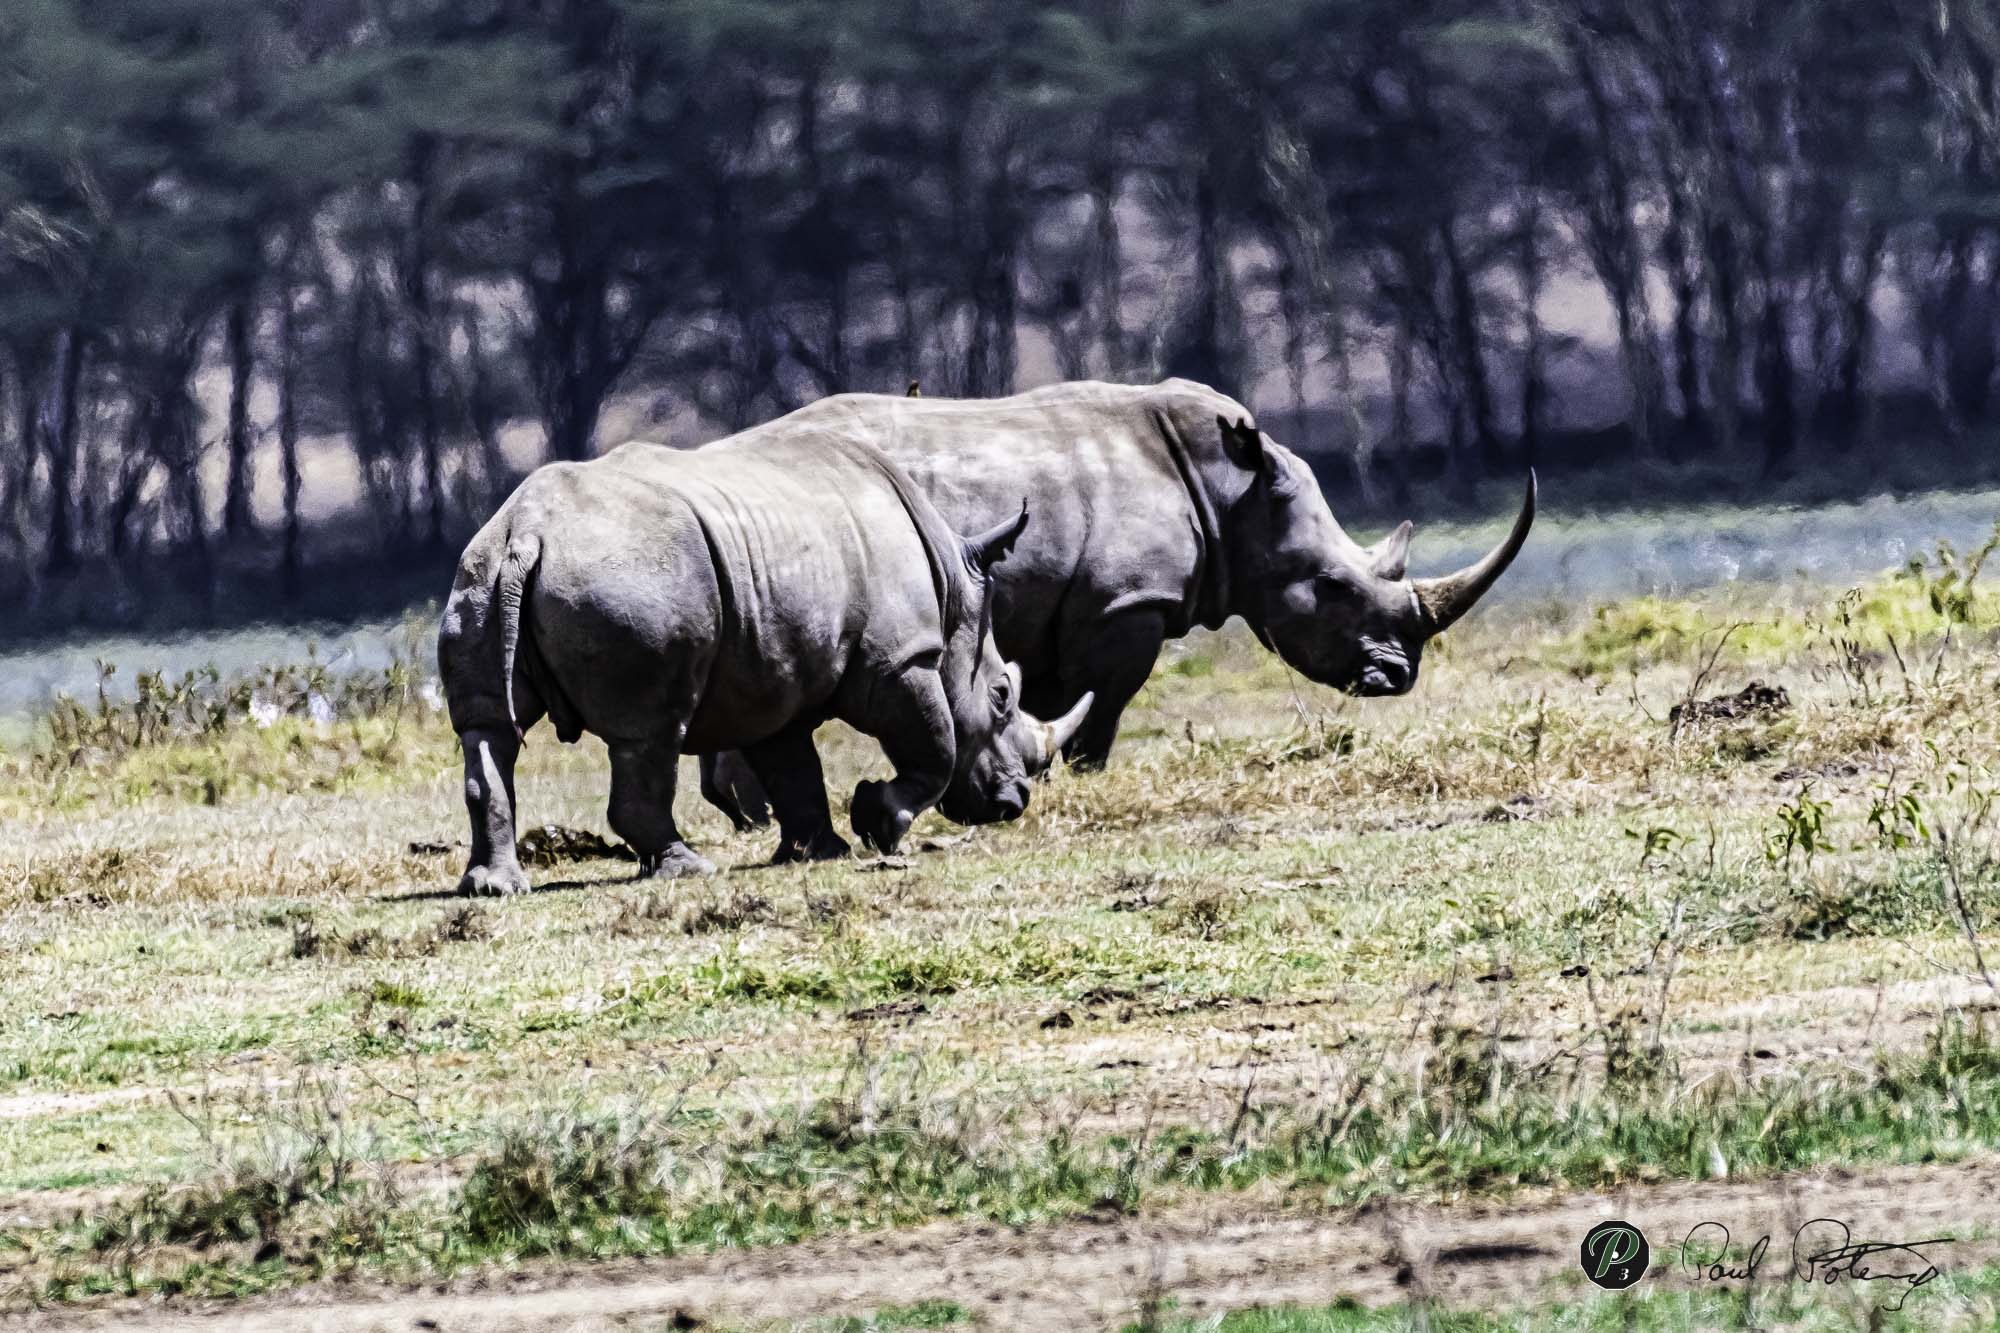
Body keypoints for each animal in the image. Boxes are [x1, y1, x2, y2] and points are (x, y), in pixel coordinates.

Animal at [437, 425, 1092, 894]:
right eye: (1002, 696)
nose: (1012, 805)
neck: (955, 586)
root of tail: (526, 534)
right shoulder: (901, 659)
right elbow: (937, 748)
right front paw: (879, 823)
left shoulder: (772, 677)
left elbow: (792, 766)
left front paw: (820, 852)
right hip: (632, 580)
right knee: (650, 733)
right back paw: (687, 868)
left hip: (479, 575)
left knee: (488, 730)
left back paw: (494, 889)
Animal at [695, 379, 1533, 829]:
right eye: (1333, 588)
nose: (1397, 677)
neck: (1232, 494)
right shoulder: (1125, 604)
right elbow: (1105, 709)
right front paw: (1082, 779)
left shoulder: (1063, 612)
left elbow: (1054, 701)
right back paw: (759, 818)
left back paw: (747, 816)